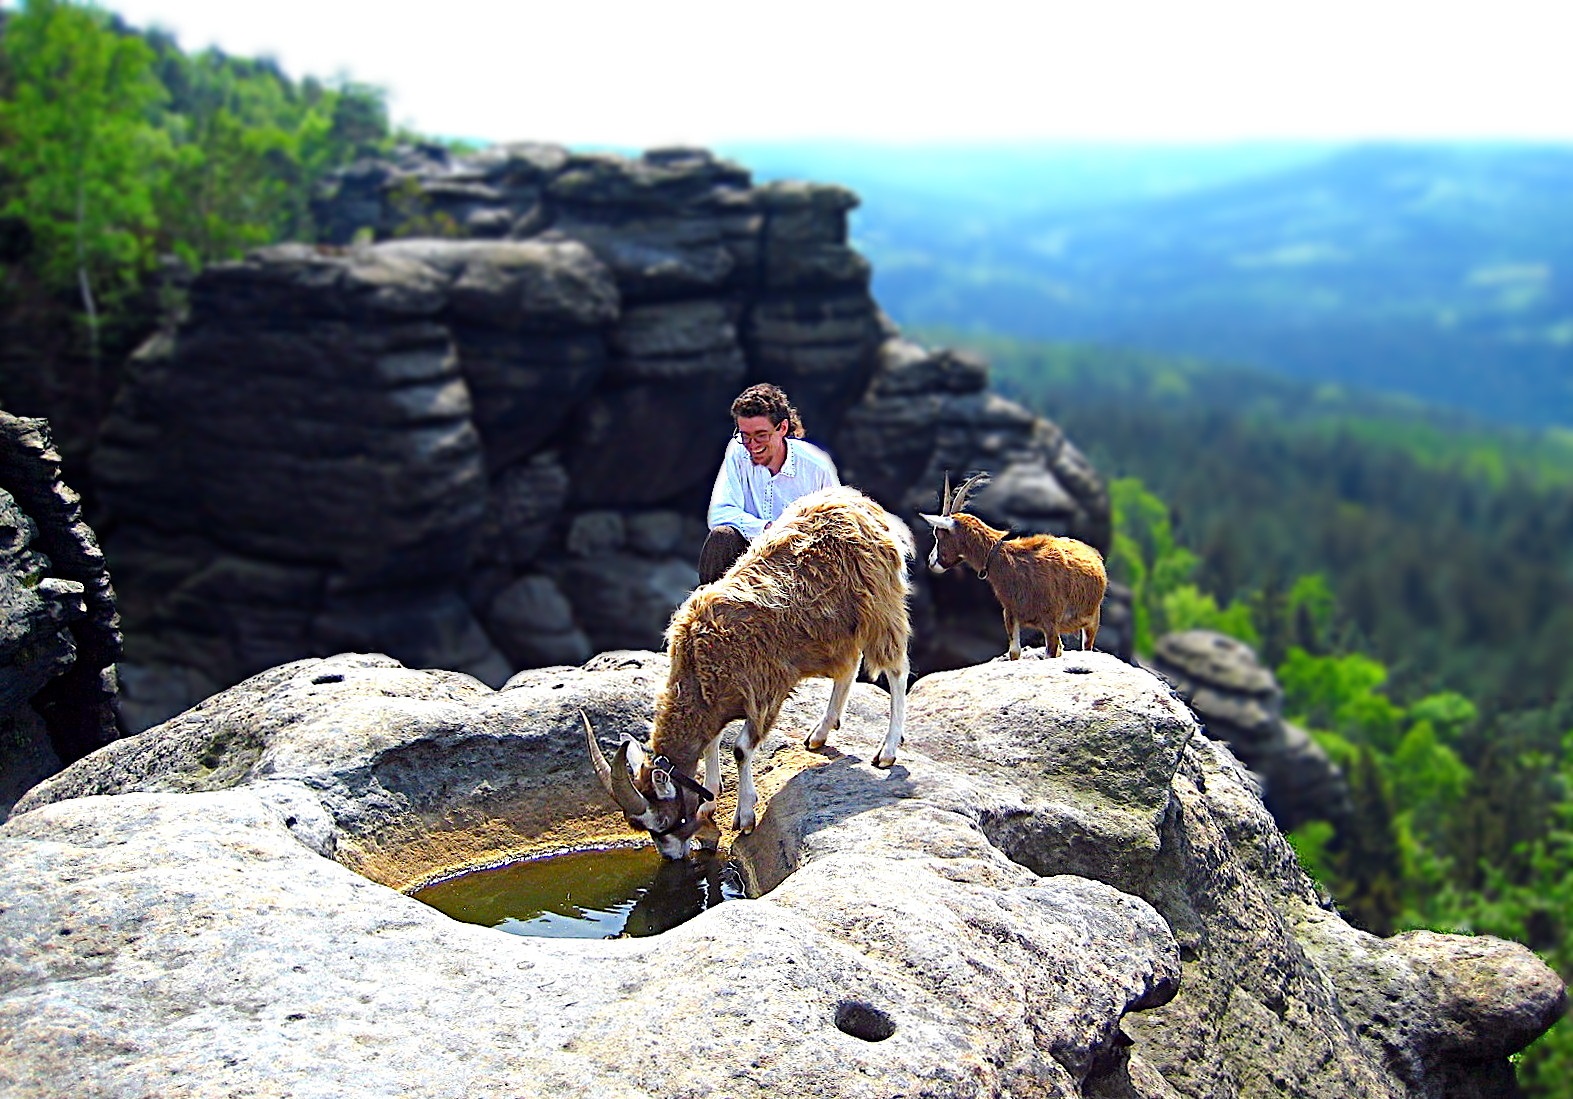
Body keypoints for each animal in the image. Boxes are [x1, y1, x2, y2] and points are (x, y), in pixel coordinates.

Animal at [584, 485, 913, 859]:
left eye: (664, 820)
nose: (670, 856)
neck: (698, 665)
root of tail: (859, 503)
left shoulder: (765, 689)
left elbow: (741, 749)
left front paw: (743, 817)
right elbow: (712, 742)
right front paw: (710, 798)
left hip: (880, 606)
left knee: (897, 669)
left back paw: (887, 751)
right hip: (840, 626)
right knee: (849, 665)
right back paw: (820, 733)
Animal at [920, 472, 1107, 659]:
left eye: (939, 534)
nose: (931, 561)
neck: (1008, 559)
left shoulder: (1051, 621)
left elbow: (1050, 653)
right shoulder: (1011, 614)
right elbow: (1015, 652)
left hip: (1092, 619)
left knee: (1086, 646)